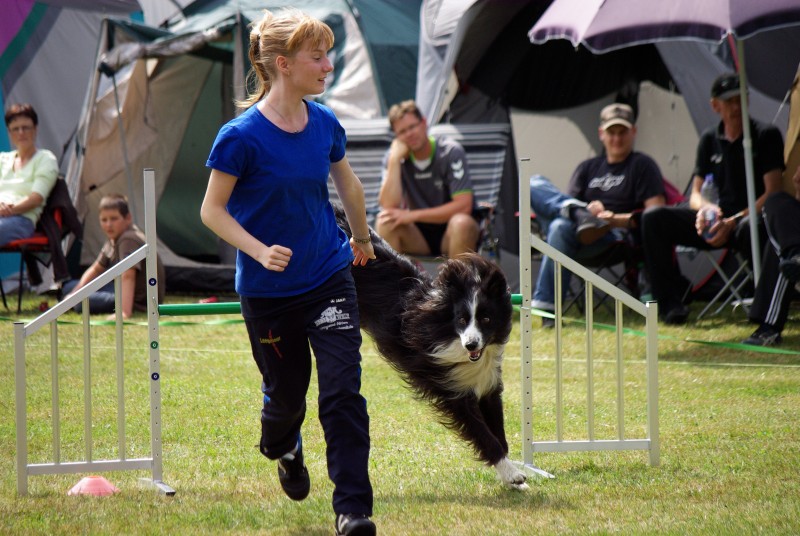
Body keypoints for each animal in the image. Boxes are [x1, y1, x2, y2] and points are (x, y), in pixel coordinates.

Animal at [334, 205, 527, 490]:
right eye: (462, 319)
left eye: (486, 319)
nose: (471, 344)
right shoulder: (451, 389)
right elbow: (484, 434)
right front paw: (512, 473)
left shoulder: (488, 384)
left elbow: (498, 430)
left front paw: (511, 475)